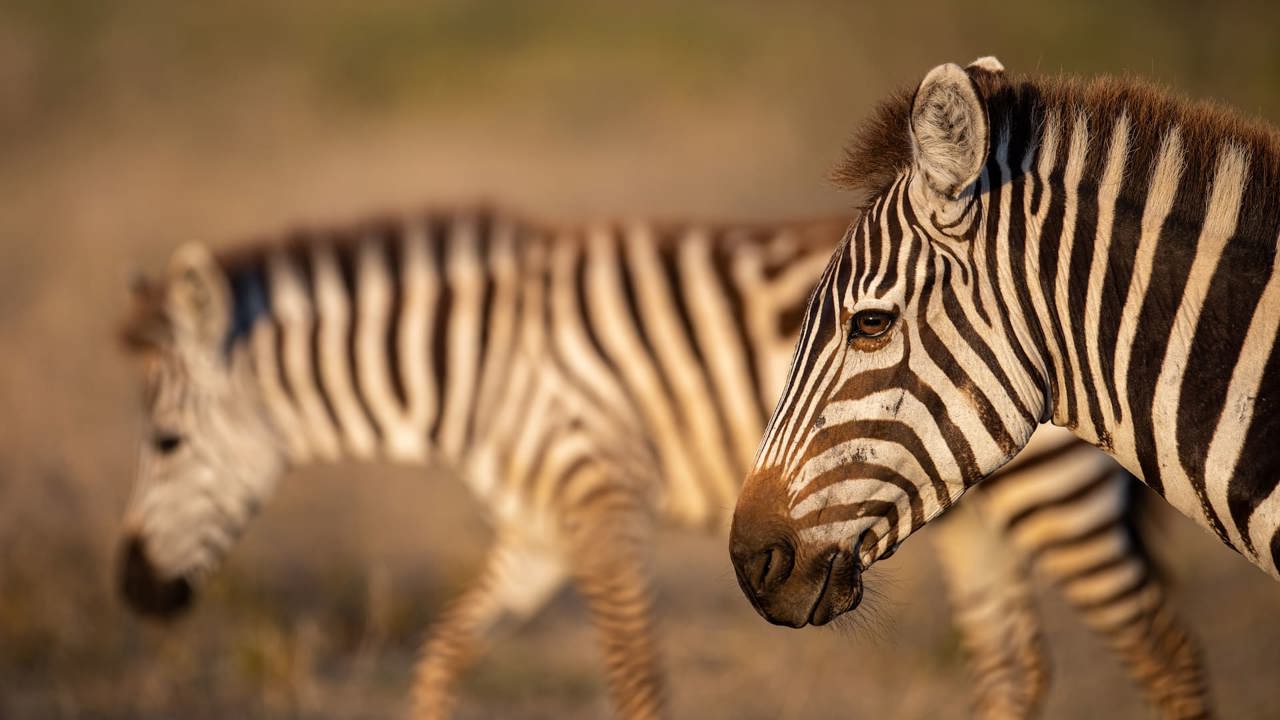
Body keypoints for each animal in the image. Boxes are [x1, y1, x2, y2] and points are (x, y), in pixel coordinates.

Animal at [117, 205, 1204, 718]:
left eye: (165, 443)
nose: (131, 590)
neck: (478, 367)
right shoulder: (538, 529)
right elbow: (440, 658)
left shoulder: (597, 498)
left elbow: (635, 680)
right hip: (980, 513)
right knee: (1016, 668)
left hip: (1056, 496)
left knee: (1164, 653)